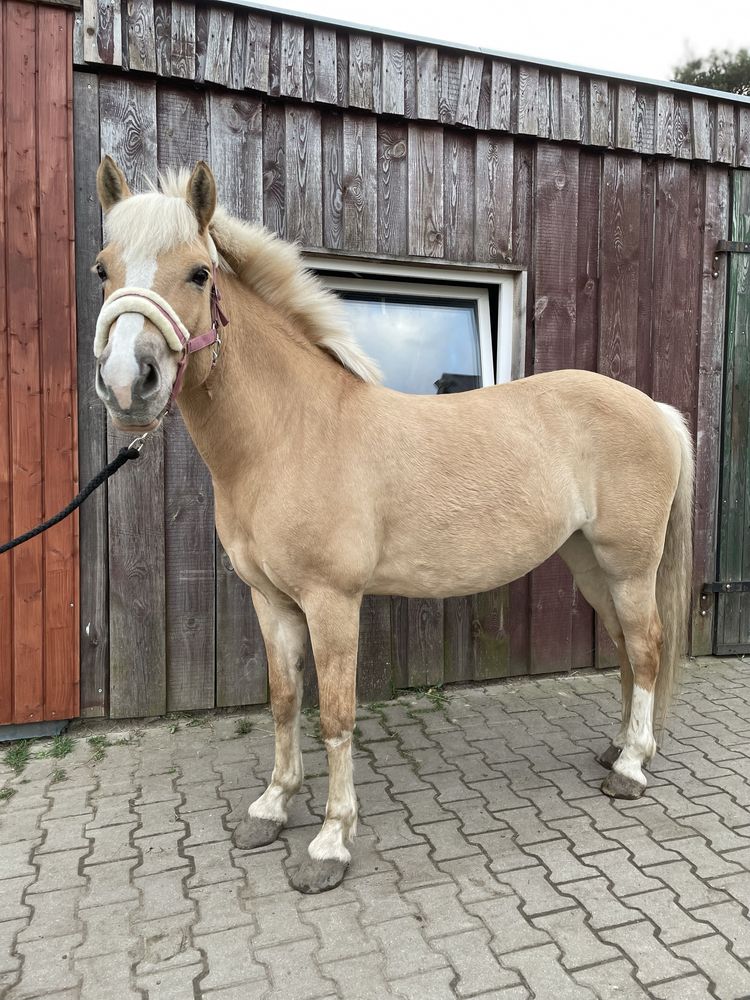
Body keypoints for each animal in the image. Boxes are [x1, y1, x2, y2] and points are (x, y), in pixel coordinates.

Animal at [94, 158, 700, 900]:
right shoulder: (271, 601)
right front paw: (271, 808)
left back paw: (632, 768)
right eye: (102, 269)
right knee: (624, 648)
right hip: (591, 563)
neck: (289, 434)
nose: (130, 383)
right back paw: (618, 748)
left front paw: (329, 844)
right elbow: (284, 701)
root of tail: (656, 410)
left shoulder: (332, 602)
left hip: (629, 564)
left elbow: (336, 714)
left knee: (646, 646)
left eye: (200, 273)